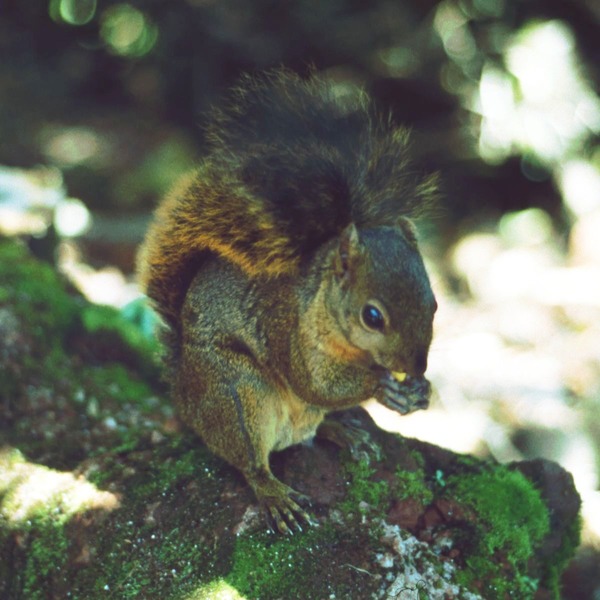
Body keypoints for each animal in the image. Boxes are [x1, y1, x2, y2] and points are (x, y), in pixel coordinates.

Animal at [138, 70, 438, 536]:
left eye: (435, 304)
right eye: (372, 316)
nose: (417, 367)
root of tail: (184, 394)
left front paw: (420, 392)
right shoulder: (283, 327)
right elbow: (312, 382)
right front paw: (382, 386)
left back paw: (343, 432)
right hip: (239, 393)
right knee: (252, 460)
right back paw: (275, 494)